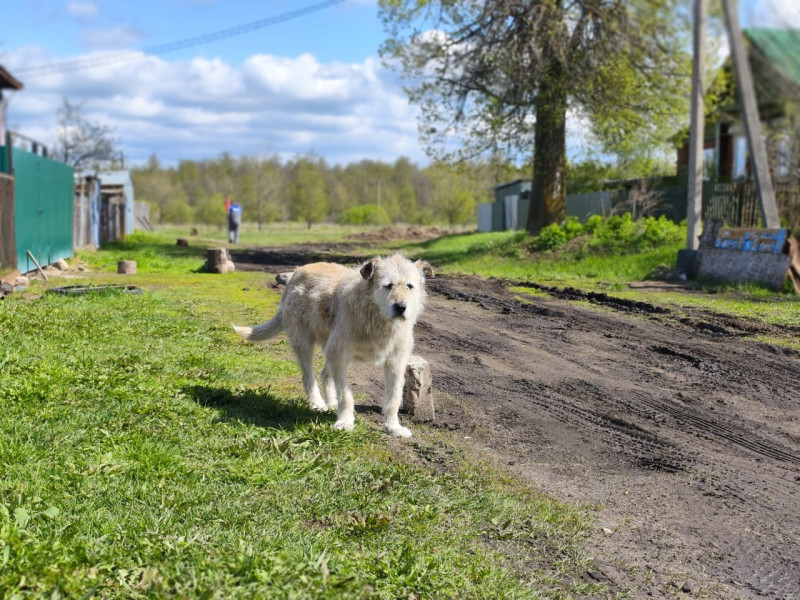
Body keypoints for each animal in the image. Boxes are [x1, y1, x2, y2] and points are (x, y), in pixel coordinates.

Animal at [233, 253, 432, 436]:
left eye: (410, 286)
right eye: (388, 285)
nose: (401, 307)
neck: (376, 316)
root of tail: (297, 272)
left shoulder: (396, 361)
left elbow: (394, 397)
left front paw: (393, 427)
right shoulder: (339, 353)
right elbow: (346, 395)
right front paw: (345, 422)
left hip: (330, 347)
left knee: (324, 373)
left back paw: (330, 402)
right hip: (304, 343)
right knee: (308, 376)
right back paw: (317, 403)